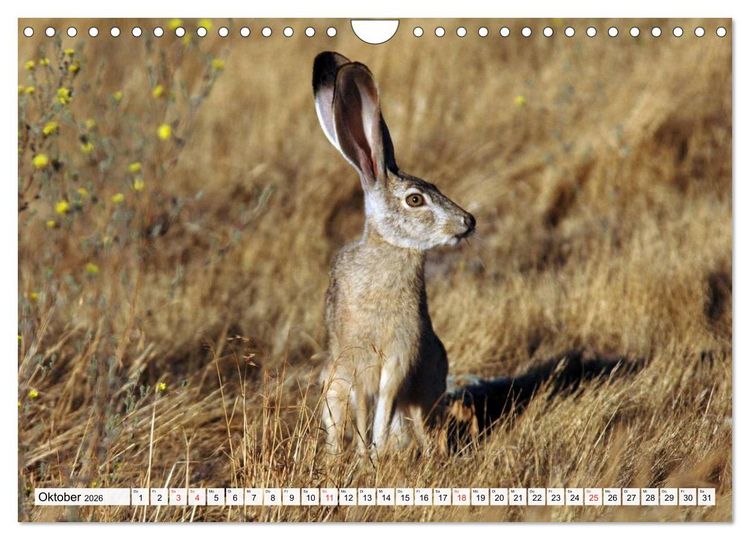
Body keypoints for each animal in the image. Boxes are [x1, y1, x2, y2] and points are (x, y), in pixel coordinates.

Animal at [313, 51, 476, 459]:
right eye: (415, 200)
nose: (468, 222)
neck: (390, 247)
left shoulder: (402, 356)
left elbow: (385, 403)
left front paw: (376, 452)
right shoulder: (356, 360)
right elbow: (364, 406)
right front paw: (364, 456)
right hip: (332, 384)